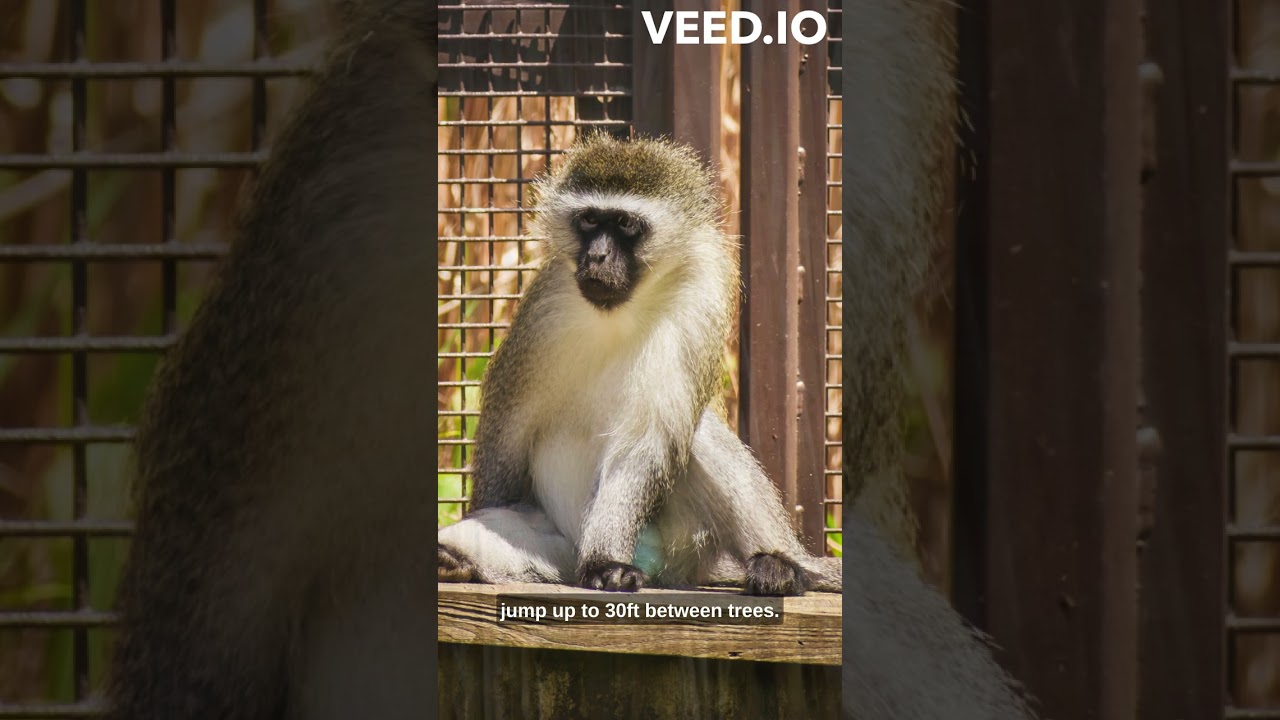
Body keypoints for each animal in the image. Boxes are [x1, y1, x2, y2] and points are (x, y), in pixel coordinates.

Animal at [436, 134, 843, 596]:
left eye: (625, 224)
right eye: (589, 220)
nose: (596, 256)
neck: (620, 314)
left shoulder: (697, 303)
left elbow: (642, 443)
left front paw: (606, 563)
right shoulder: (540, 320)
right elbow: (506, 439)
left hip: (686, 543)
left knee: (697, 433)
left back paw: (785, 565)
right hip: (559, 551)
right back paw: (456, 558)